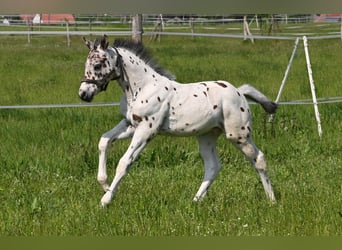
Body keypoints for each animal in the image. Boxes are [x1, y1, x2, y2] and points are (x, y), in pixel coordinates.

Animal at [78, 35, 278, 207]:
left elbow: (124, 162)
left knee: (259, 159)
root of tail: (239, 92)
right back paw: (196, 201)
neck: (143, 88)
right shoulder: (130, 125)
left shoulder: (147, 129)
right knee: (212, 166)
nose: (83, 94)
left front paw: (106, 199)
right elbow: (104, 141)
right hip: (207, 136)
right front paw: (104, 184)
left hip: (238, 135)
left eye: (97, 65)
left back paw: (272, 200)